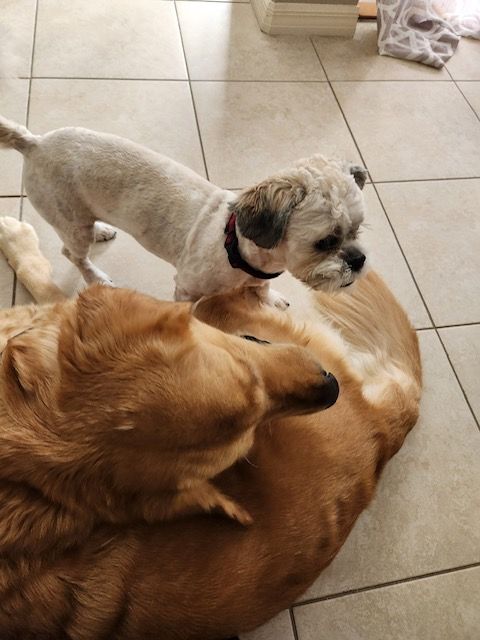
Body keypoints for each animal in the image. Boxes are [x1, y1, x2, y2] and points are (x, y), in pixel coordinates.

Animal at [0, 117, 368, 308]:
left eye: (357, 230)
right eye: (326, 241)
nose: (359, 260)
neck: (236, 248)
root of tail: (35, 142)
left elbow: (262, 290)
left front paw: (271, 297)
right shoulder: (187, 290)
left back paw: (101, 229)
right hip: (70, 221)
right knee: (73, 253)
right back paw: (96, 276)